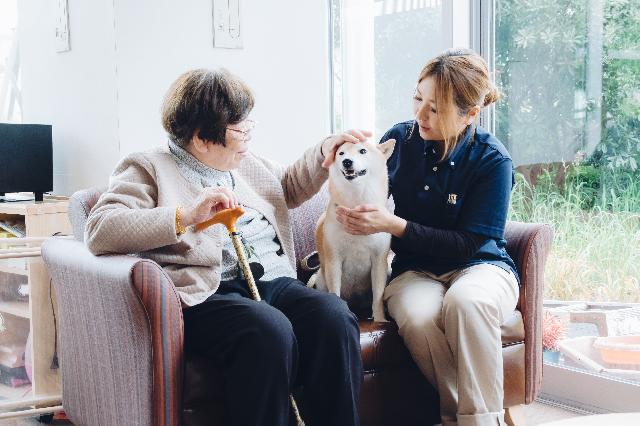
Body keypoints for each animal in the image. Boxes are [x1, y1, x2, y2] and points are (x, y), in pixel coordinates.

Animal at [312, 138, 396, 322]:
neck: (356, 204)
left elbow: (377, 298)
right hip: (321, 277)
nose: (346, 162)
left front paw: (380, 320)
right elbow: (335, 293)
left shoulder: (379, 261)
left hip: (387, 271)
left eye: (362, 151)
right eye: (341, 153)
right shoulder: (334, 260)